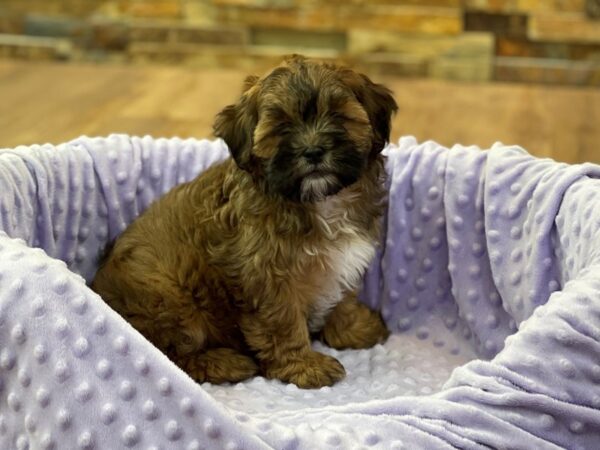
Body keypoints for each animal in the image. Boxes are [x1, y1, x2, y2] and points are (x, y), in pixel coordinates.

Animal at [91, 54, 396, 388]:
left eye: (339, 117)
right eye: (281, 127)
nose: (313, 151)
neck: (318, 201)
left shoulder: (343, 260)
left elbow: (343, 298)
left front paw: (352, 329)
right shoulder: (266, 278)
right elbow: (283, 323)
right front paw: (303, 366)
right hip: (169, 298)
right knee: (167, 357)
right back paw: (224, 363)